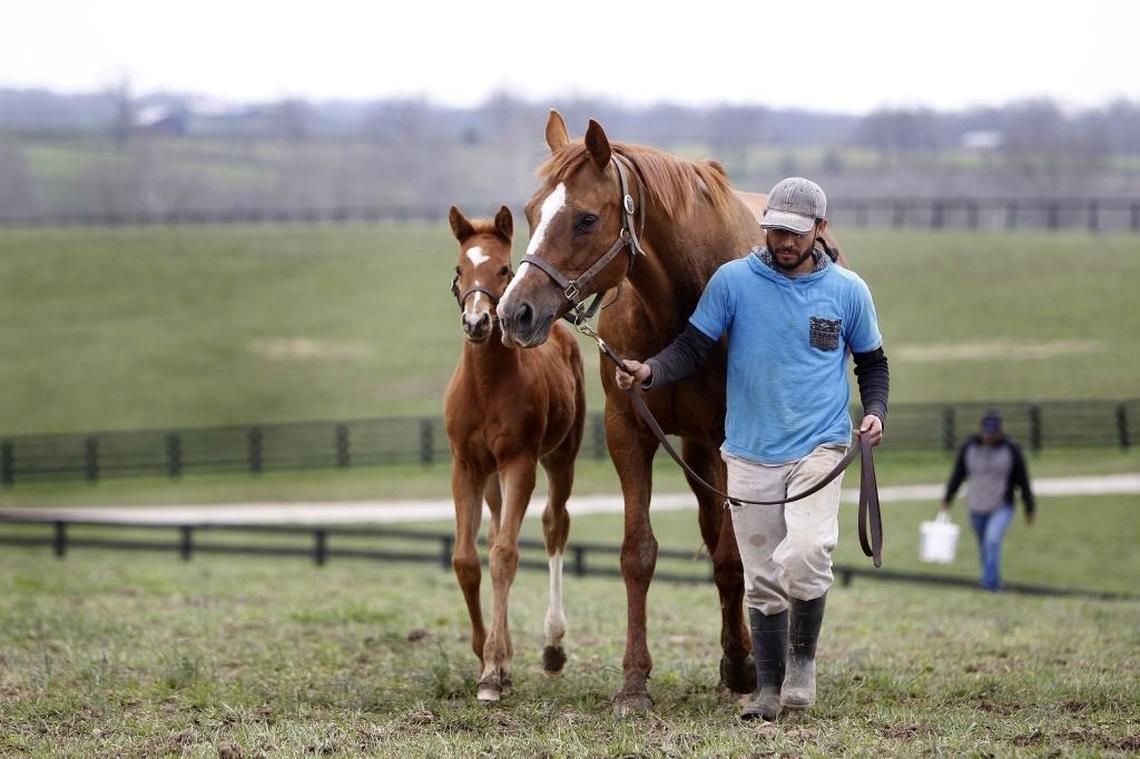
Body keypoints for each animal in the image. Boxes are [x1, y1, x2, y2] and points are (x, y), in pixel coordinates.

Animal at [443, 203, 587, 701]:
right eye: (459, 269)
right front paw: (486, 653)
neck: (487, 387)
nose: (478, 323)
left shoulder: (519, 463)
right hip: (490, 478)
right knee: (489, 536)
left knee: (554, 525)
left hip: (561, 457)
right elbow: (468, 560)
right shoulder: (466, 467)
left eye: (503, 269)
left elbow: (506, 556)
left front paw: (492, 671)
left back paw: (553, 645)